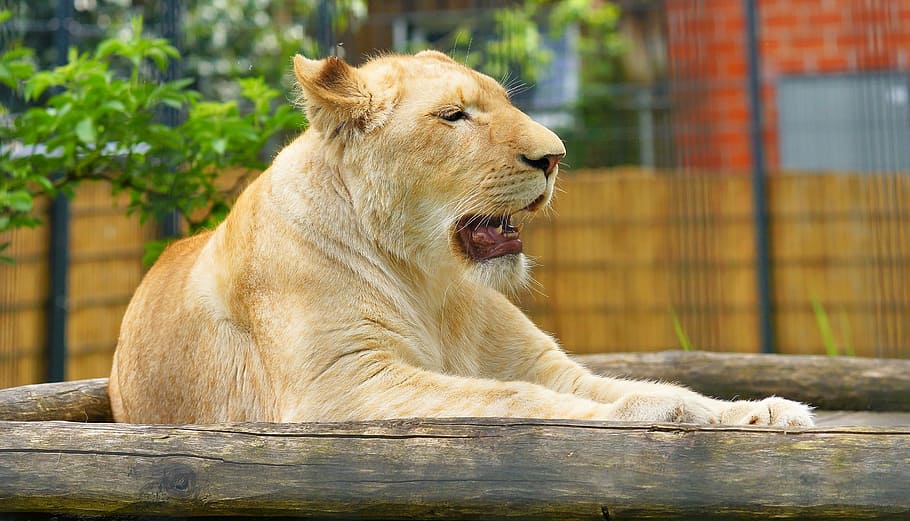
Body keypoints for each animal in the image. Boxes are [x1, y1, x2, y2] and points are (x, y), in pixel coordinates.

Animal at [108, 51, 814, 427]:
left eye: (503, 102)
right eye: (454, 117)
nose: (555, 157)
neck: (430, 281)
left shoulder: (542, 363)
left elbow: (648, 386)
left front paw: (757, 411)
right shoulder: (340, 385)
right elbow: (512, 398)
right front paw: (644, 419)